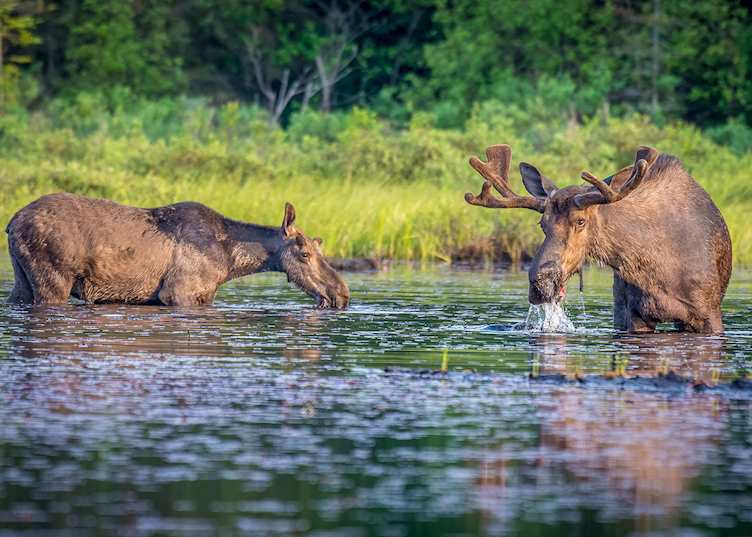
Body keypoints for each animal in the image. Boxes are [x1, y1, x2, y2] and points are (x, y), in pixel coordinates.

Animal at [6, 193, 350, 308]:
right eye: (305, 254)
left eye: (320, 248)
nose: (342, 293)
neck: (232, 261)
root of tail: (11, 222)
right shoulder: (177, 292)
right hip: (53, 280)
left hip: (22, 279)